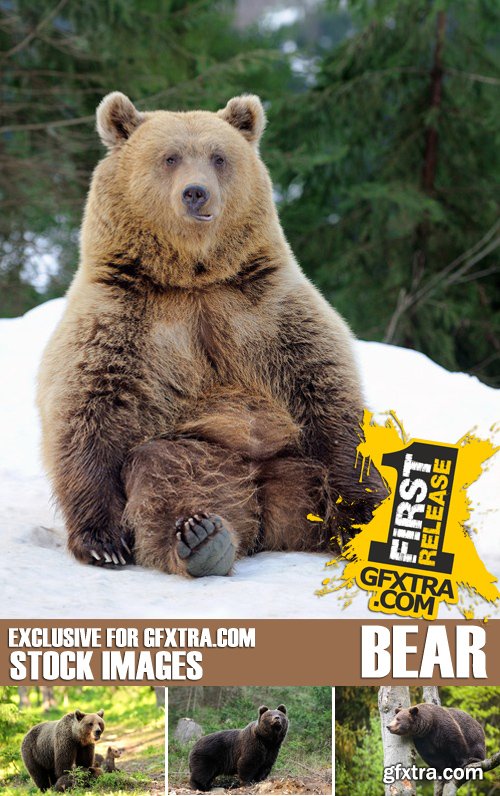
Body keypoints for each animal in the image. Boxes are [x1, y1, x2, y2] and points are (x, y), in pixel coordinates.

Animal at [37, 90, 385, 576]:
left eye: (219, 157)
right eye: (169, 157)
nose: (195, 192)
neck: (194, 276)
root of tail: (268, 507)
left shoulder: (268, 309)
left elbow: (327, 393)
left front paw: (369, 511)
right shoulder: (121, 319)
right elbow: (89, 410)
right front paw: (102, 540)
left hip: (296, 462)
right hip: (203, 454)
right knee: (166, 473)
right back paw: (202, 538)